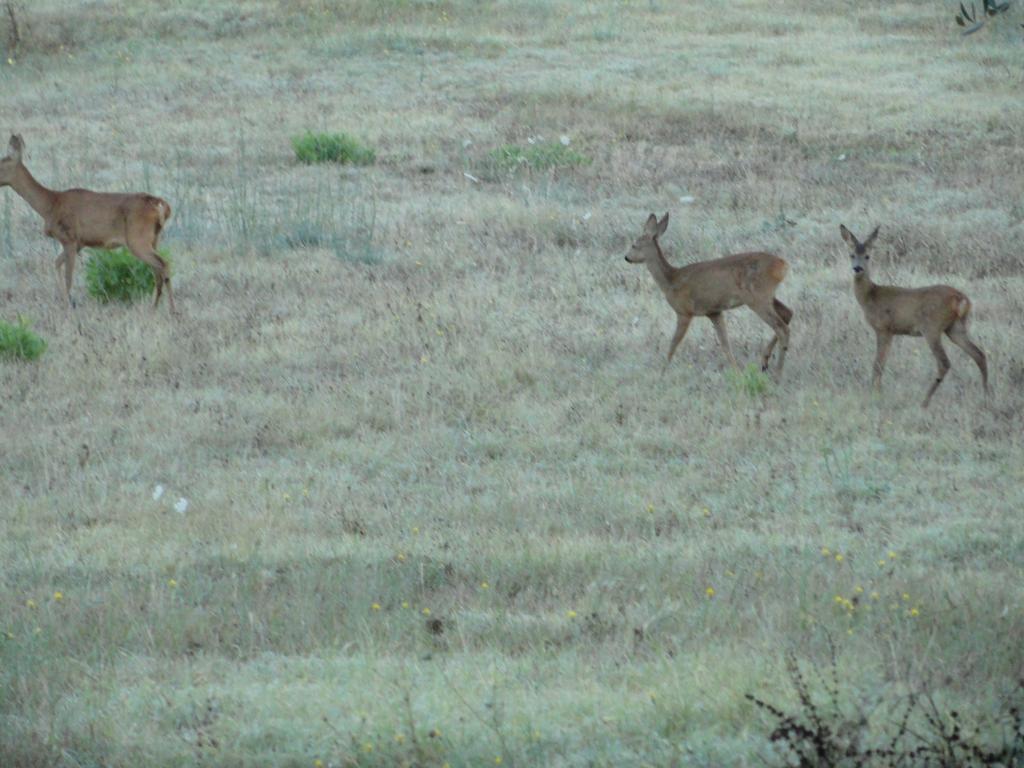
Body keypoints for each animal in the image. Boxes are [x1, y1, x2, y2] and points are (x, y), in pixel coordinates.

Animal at [0, 134, 175, 313]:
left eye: (0, 165)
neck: (50, 205)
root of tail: (161, 205)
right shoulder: (79, 243)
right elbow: (56, 264)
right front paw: (65, 301)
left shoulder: (69, 238)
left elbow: (68, 276)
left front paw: (69, 305)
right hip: (154, 239)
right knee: (157, 270)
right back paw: (154, 307)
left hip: (137, 239)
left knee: (164, 264)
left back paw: (172, 310)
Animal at [622, 211, 790, 376]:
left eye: (634, 245)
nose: (626, 257)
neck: (671, 280)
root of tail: (782, 265)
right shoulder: (714, 312)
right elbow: (725, 344)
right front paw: (737, 372)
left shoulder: (684, 311)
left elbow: (673, 344)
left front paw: (662, 372)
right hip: (766, 295)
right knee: (788, 313)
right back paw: (765, 361)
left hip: (758, 297)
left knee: (781, 327)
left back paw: (777, 373)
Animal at [835, 224, 987, 409]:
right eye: (851, 255)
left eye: (867, 256)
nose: (857, 268)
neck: (871, 296)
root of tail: (961, 299)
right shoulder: (892, 331)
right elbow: (882, 363)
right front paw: (878, 392)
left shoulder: (883, 328)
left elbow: (877, 364)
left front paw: (874, 395)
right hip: (955, 327)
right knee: (979, 354)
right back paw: (987, 395)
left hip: (932, 327)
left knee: (944, 362)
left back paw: (925, 401)